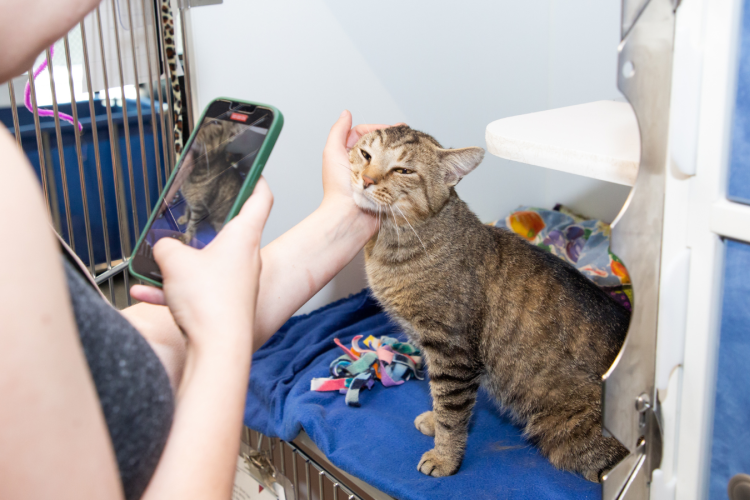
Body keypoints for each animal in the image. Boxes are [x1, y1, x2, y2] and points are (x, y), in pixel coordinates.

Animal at [350, 124, 632, 480]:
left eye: (403, 170)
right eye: (365, 154)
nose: (366, 179)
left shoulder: (452, 351)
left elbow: (450, 411)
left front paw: (444, 456)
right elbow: (438, 398)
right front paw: (433, 421)